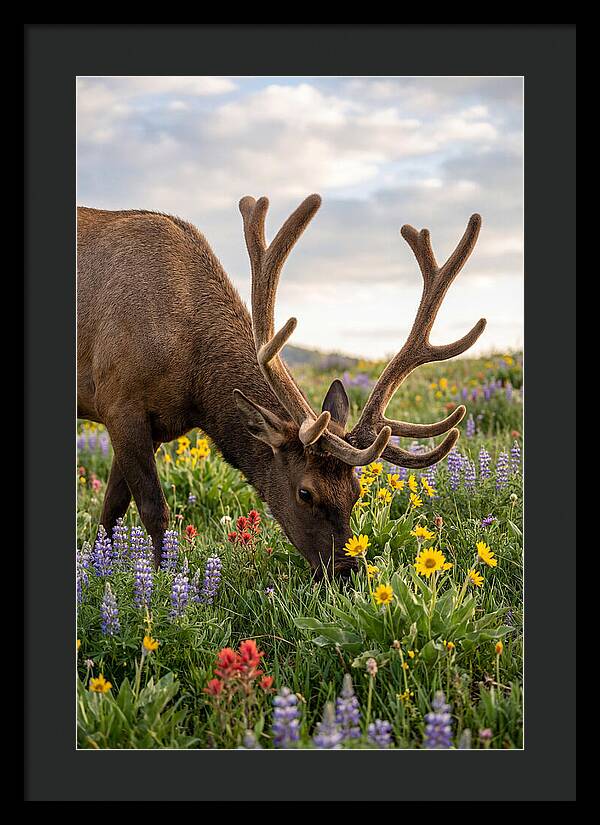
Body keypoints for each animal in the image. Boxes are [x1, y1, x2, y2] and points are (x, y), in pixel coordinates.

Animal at [77, 194, 486, 577]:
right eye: (305, 493)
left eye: (356, 491)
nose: (346, 572)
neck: (194, 383)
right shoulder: (119, 402)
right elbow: (152, 510)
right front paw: (159, 580)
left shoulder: (156, 425)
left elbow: (111, 510)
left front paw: (102, 567)